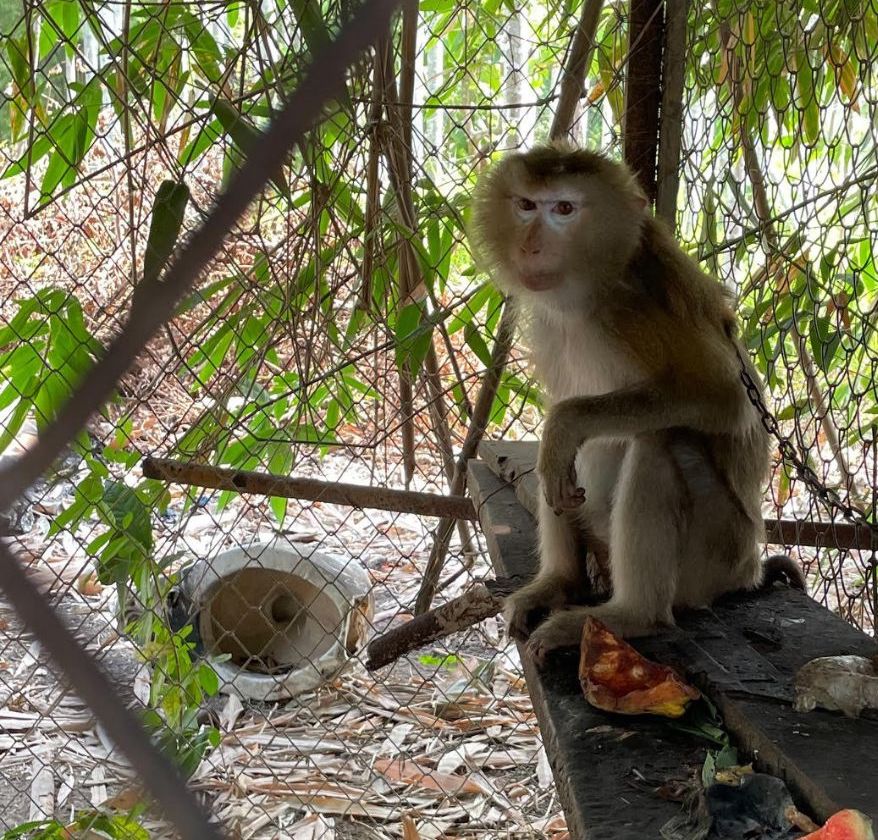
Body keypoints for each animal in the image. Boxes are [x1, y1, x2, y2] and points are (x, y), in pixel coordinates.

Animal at [468, 144, 805, 664]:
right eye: (525, 205)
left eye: (563, 209)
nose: (530, 247)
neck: (588, 289)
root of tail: (746, 571)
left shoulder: (632, 311)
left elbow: (724, 397)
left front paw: (566, 424)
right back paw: (560, 582)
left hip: (717, 555)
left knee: (662, 440)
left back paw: (631, 616)